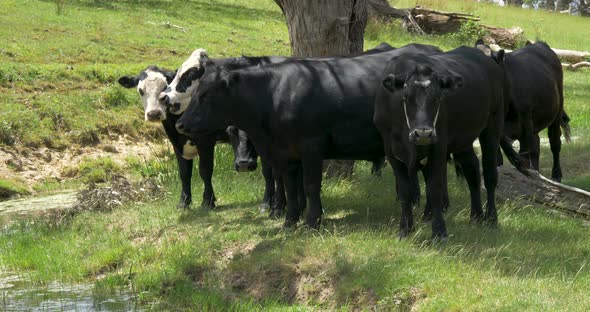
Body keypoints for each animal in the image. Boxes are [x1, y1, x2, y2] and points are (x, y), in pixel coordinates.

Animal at [476, 40, 572, 182]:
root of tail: (539, 43)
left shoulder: (525, 122)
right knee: (536, 144)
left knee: (554, 143)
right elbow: (497, 156)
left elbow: (525, 152)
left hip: (557, 110)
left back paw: (556, 176)